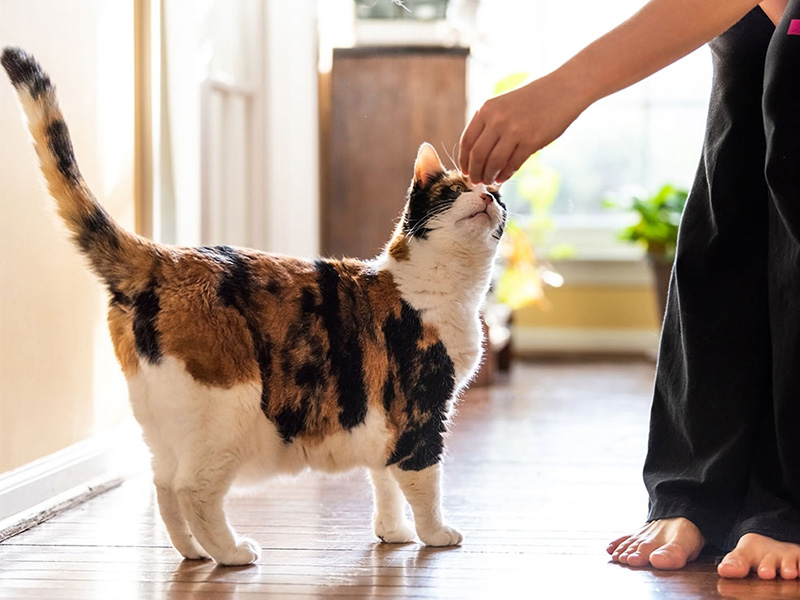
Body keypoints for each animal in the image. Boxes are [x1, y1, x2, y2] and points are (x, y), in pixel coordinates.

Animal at [3, 45, 506, 564]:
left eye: (498, 195)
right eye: (455, 190)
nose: (489, 196)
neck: (445, 286)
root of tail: (166, 258)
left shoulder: (385, 419)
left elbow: (383, 478)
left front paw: (393, 532)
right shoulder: (421, 408)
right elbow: (423, 480)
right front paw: (436, 535)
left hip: (164, 419)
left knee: (163, 485)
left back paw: (193, 552)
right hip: (227, 407)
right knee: (192, 489)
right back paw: (232, 553)